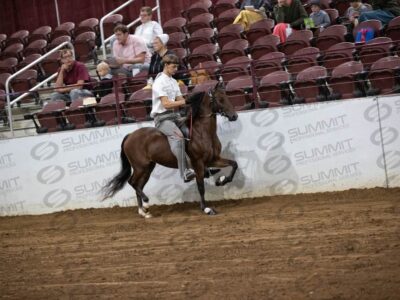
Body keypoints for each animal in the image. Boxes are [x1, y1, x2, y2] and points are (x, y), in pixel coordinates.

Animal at [102, 86, 238, 218]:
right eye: (220, 99)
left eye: (227, 97)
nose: (234, 116)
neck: (202, 132)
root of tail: (130, 136)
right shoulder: (198, 163)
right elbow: (201, 187)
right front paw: (206, 209)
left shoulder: (213, 159)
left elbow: (234, 164)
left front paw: (222, 180)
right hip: (140, 167)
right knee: (132, 182)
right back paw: (145, 204)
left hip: (147, 168)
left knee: (138, 185)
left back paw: (144, 212)